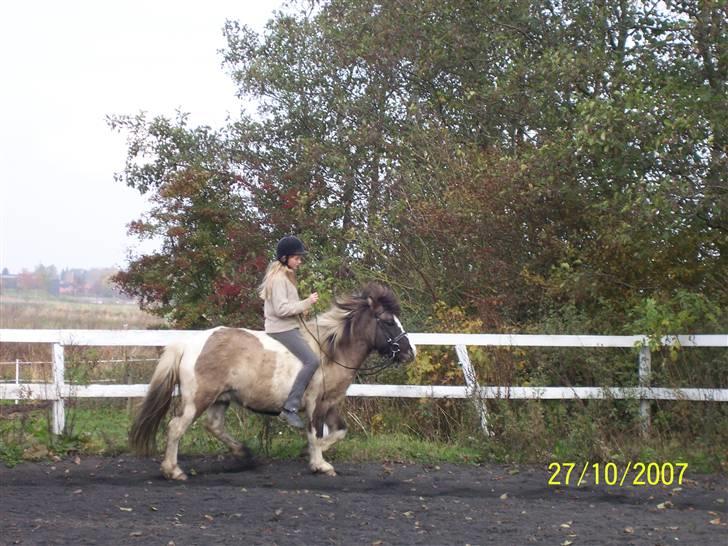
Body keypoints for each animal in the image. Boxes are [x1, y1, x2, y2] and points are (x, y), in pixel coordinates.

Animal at [129, 282, 416, 478]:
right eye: (388, 322)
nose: (410, 352)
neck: (330, 351)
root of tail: (190, 343)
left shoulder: (331, 403)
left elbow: (339, 431)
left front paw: (311, 454)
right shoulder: (315, 402)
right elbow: (314, 431)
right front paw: (318, 462)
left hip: (221, 398)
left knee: (214, 426)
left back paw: (244, 454)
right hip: (198, 399)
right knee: (176, 427)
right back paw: (173, 470)